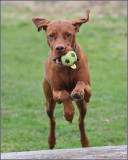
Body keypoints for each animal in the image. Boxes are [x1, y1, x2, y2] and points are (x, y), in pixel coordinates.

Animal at [32, 9, 91, 149]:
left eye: (68, 34)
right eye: (51, 35)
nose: (59, 48)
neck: (67, 67)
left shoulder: (88, 91)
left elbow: (81, 83)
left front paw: (77, 92)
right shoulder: (56, 91)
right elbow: (64, 94)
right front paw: (69, 112)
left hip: (83, 105)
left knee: (81, 120)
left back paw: (85, 141)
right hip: (49, 102)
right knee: (52, 120)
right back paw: (51, 140)